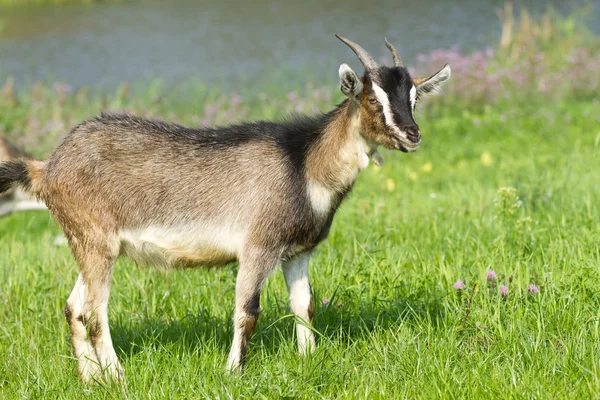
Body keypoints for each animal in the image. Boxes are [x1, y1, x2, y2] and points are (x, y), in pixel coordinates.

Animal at [0, 36, 450, 382]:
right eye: (371, 99)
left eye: (413, 97)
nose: (412, 135)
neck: (303, 162)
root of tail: (46, 167)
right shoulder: (258, 246)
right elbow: (247, 311)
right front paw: (234, 372)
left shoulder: (298, 251)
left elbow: (304, 306)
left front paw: (308, 360)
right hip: (96, 240)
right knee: (96, 313)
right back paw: (118, 376)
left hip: (86, 241)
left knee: (74, 307)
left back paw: (91, 379)